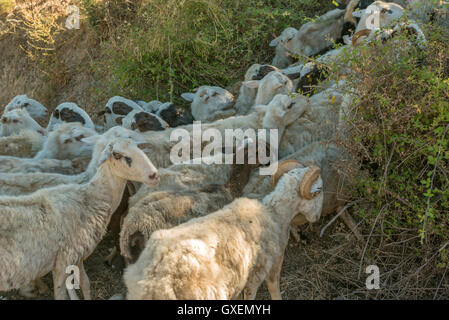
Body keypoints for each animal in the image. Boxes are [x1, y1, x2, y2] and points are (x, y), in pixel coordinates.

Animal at [0, 137, 159, 300]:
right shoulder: (63, 261)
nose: (154, 175)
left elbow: (85, 283)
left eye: (139, 148)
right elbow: (61, 294)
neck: (90, 199)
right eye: (117, 155)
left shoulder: (78, 255)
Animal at [124, 162, 324, 300]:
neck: (274, 212)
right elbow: (269, 288)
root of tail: (151, 281)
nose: (317, 217)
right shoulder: (259, 271)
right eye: (320, 190)